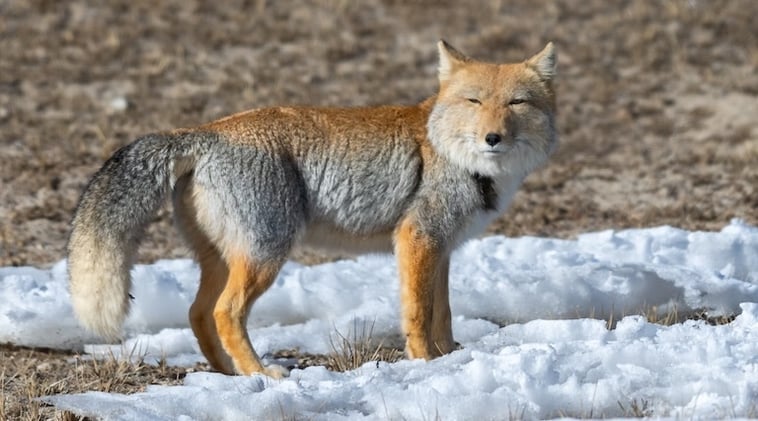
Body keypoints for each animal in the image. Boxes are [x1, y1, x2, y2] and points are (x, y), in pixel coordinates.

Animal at [67, 41, 557, 378]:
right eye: (474, 101)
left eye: (516, 102)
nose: (492, 137)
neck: (453, 155)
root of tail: (205, 131)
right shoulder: (418, 240)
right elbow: (419, 315)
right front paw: (424, 364)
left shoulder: (442, 249)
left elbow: (444, 313)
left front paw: (448, 358)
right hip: (266, 256)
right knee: (226, 313)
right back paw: (261, 373)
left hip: (224, 260)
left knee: (198, 313)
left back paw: (230, 375)